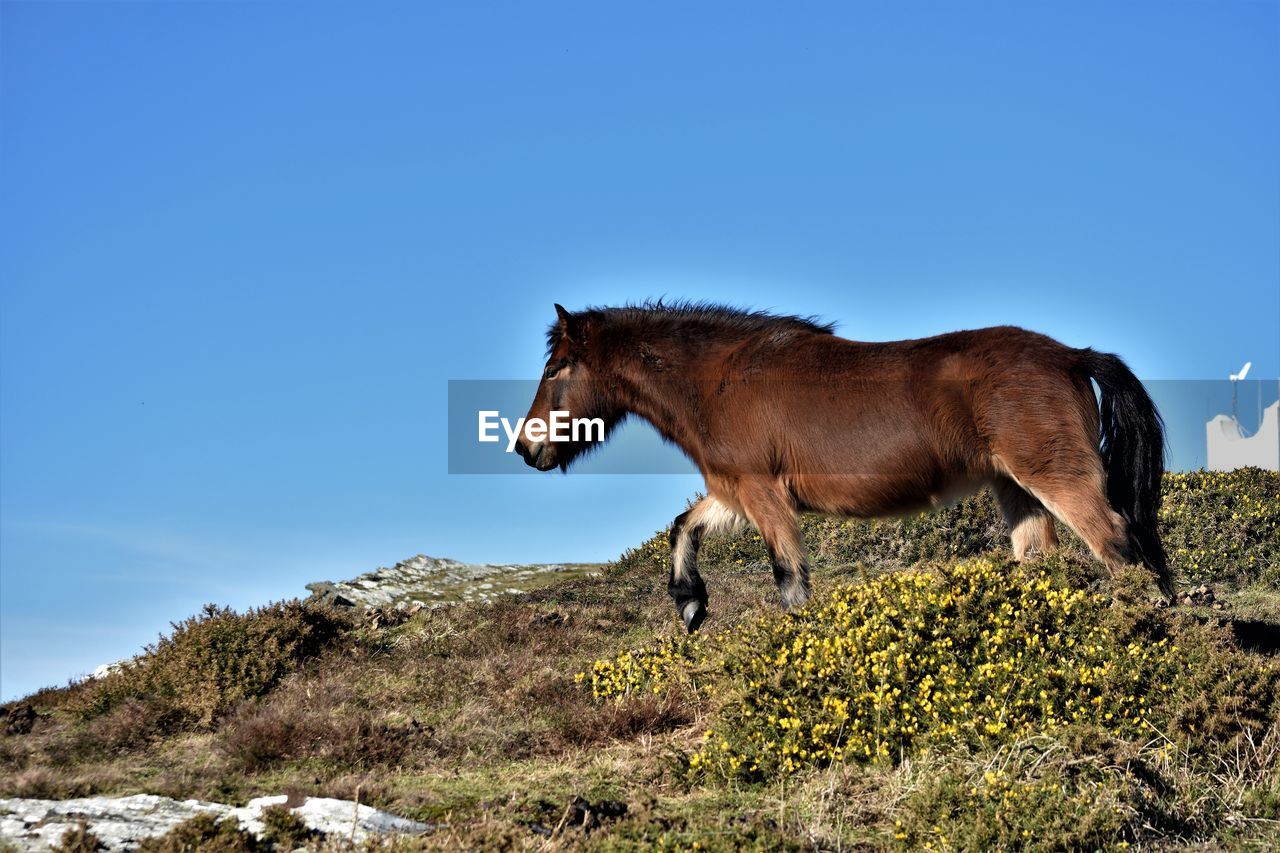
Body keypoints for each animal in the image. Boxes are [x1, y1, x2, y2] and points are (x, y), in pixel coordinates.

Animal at [512, 300, 1172, 630]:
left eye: (554, 367)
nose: (525, 447)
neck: (718, 378)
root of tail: (1073, 356)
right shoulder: (736, 492)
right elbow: (684, 525)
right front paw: (690, 602)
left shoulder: (764, 495)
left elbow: (790, 582)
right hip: (1017, 489)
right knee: (1048, 560)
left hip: (1056, 478)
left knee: (1121, 548)